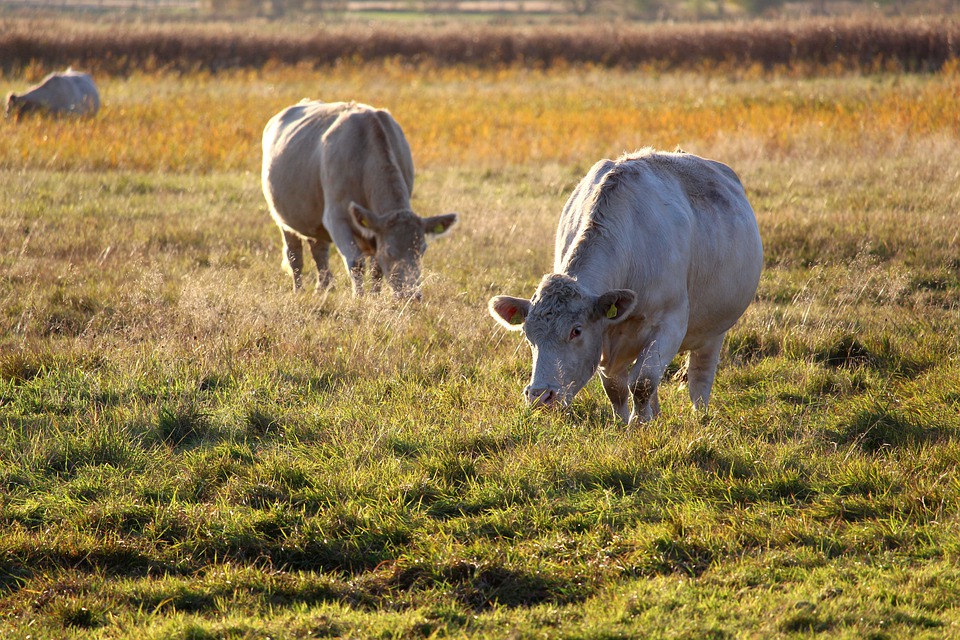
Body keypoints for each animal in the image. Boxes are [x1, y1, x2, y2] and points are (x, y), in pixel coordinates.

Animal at [260, 100, 460, 300]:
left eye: (422, 250)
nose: (411, 295)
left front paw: (374, 297)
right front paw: (359, 298)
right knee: (295, 256)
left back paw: (324, 288)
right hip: (284, 220)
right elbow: (356, 263)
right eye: (390, 251)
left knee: (319, 250)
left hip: (312, 218)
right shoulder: (336, 219)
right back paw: (299, 290)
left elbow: (376, 269)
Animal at [492, 148, 760, 422]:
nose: (540, 396)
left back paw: (699, 417)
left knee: (699, 377)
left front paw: (638, 424)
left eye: (576, 330)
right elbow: (616, 387)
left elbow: (642, 382)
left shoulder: (671, 323)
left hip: (715, 329)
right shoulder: (606, 337)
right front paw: (624, 422)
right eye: (528, 335)